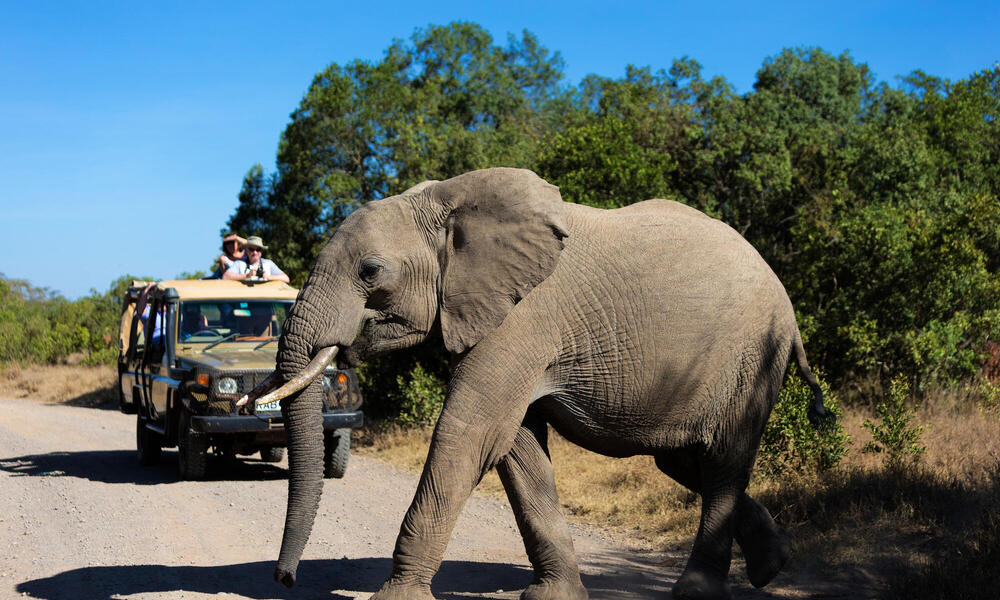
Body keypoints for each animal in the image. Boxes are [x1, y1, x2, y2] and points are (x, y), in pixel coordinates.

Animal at [242, 168, 828, 600]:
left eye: (370, 271)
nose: (285, 578)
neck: (448, 199)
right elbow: (517, 446)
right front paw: (554, 597)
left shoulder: (523, 318)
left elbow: (467, 434)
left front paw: (396, 598)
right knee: (687, 461)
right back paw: (774, 564)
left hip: (752, 355)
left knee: (723, 460)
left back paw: (699, 593)